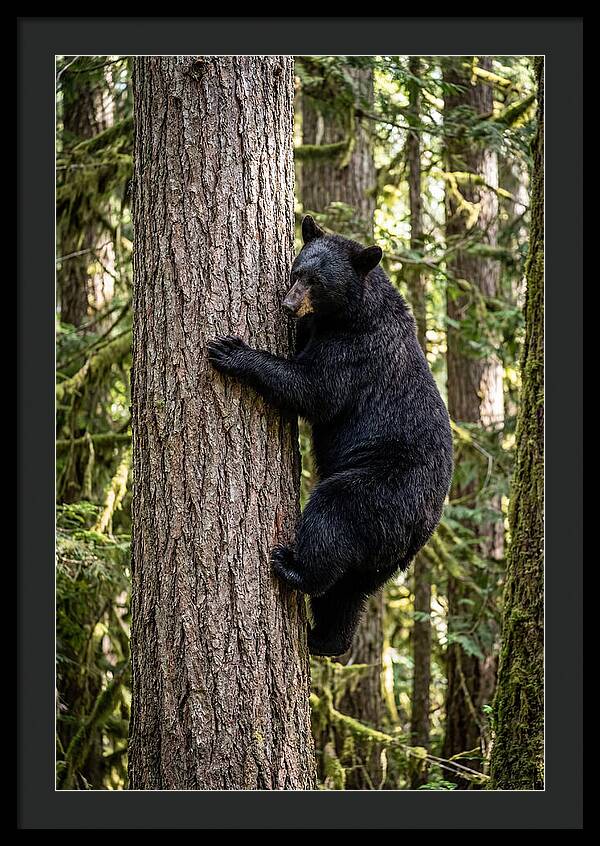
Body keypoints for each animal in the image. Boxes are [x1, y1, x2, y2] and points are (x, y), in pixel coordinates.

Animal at [207, 215, 453, 657]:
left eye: (317, 282)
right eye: (296, 271)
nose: (288, 305)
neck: (352, 313)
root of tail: (422, 527)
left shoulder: (355, 352)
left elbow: (314, 389)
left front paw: (232, 350)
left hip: (379, 490)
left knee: (332, 518)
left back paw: (292, 567)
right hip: (382, 555)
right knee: (349, 591)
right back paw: (326, 639)